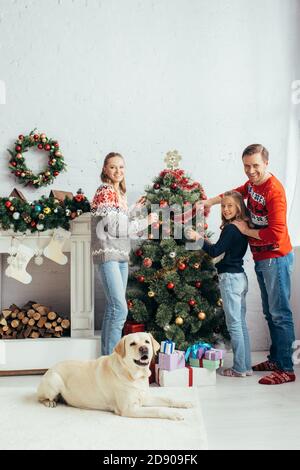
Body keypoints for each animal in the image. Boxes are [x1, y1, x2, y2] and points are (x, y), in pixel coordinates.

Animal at [37, 332, 192, 420]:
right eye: (132, 344)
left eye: (147, 341)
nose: (144, 349)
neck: (134, 375)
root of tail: (50, 368)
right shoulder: (129, 409)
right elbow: (158, 409)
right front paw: (175, 414)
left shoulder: (144, 397)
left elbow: (168, 399)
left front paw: (185, 403)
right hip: (54, 381)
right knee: (40, 398)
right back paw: (50, 401)